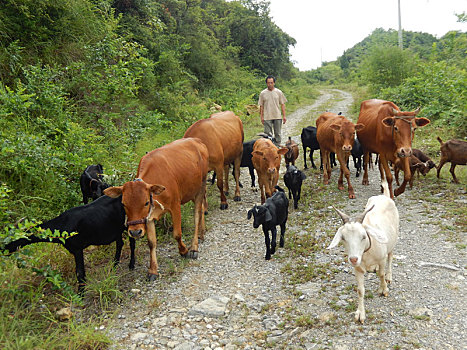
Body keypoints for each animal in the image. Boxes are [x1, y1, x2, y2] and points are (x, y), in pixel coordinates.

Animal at [4, 194, 134, 292]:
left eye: (12, 240)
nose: (3, 250)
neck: (63, 225)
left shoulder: (77, 248)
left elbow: (80, 273)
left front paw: (81, 294)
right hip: (117, 229)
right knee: (120, 243)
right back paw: (114, 265)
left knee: (132, 243)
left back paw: (131, 265)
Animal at [106, 138, 210, 280]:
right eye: (123, 204)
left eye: (146, 203)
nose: (135, 232)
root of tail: (197, 140)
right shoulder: (148, 217)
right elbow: (151, 242)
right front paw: (153, 270)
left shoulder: (175, 206)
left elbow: (177, 234)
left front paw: (184, 251)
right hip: (191, 190)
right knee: (202, 208)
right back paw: (202, 233)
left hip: (201, 185)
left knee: (197, 214)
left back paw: (194, 247)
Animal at [328, 182, 400, 324]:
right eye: (343, 238)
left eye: (364, 236)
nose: (353, 259)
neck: (367, 253)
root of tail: (384, 196)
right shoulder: (358, 268)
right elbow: (360, 290)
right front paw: (360, 313)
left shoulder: (381, 259)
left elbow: (381, 274)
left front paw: (383, 290)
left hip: (393, 240)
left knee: (390, 256)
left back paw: (389, 276)